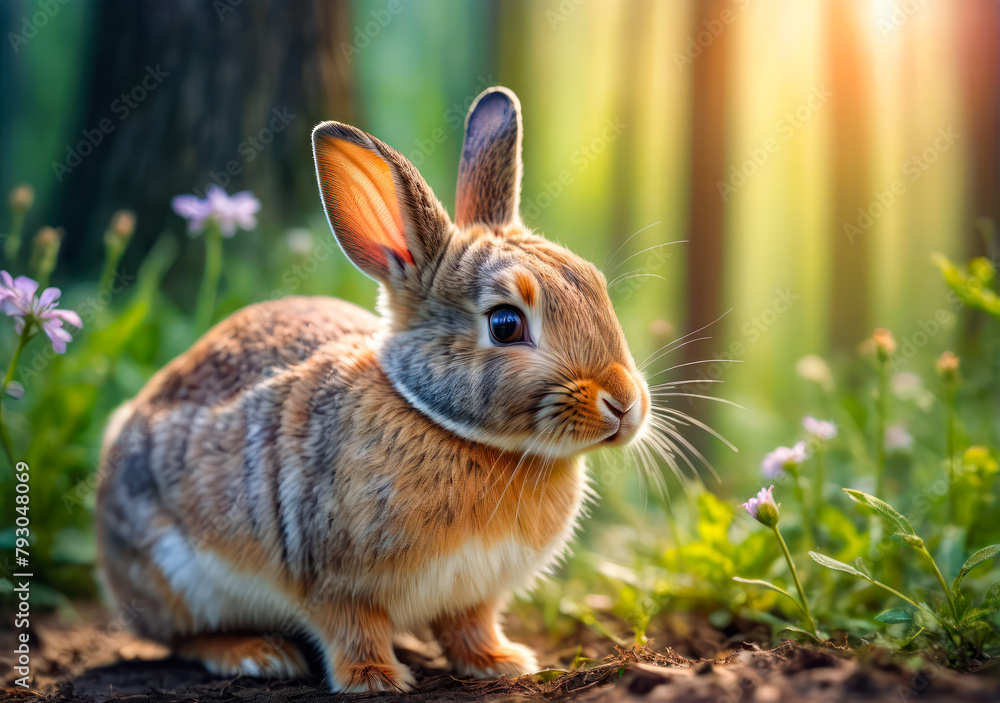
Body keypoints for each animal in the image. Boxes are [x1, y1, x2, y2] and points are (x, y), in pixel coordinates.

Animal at [95, 86, 650, 693]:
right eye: (505, 324)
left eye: (594, 284)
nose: (625, 404)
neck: (449, 427)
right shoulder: (334, 581)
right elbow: (351, 628)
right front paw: (374, 679)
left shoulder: (474, 592)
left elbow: (470, 624)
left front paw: (500, 662)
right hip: (177, 573)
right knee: (182, 636)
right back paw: (255, 654)